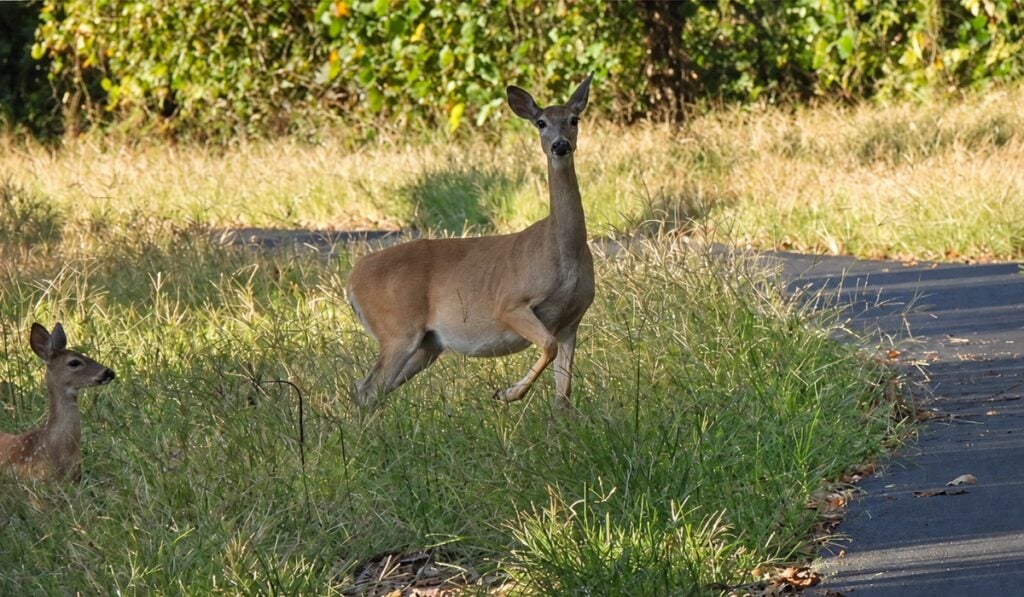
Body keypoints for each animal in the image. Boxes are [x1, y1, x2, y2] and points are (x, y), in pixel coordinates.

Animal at [345, 74, 596, 410]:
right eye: (541, 122)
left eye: (574, 119)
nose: (560, 145)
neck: (561, 252)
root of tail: (352, 279)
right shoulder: (510, 303)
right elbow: (548, 346)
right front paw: (507, 393)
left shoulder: (572, 320)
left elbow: (563, 391)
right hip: (396, 328)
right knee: (368, 387)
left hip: (427, 345)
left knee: (372, 390)